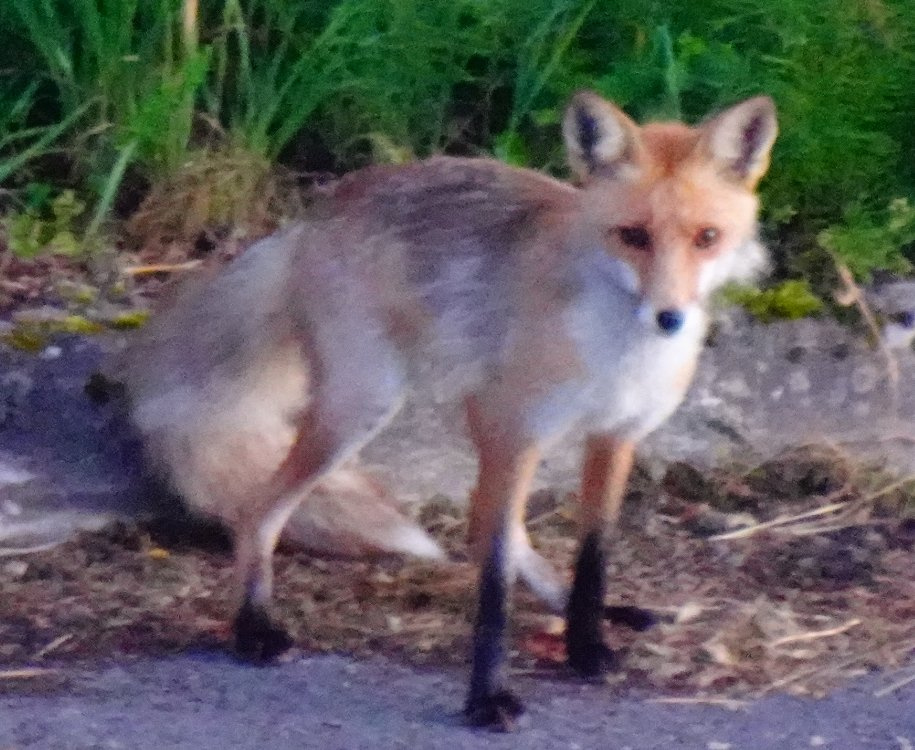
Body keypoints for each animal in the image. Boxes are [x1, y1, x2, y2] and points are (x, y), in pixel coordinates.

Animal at [116, 90, 776, 729]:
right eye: (633, 236)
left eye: (707, 238)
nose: (670, 318)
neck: (616, 355)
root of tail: (317, 209)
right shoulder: (519, 433)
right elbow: (493, 588)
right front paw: (488, 699)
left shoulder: (614, 438)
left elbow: (593, 559)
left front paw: (586, 643)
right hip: (366, 406)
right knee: (259, 512)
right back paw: (252, 628)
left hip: (457, 417)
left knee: (486, 524)